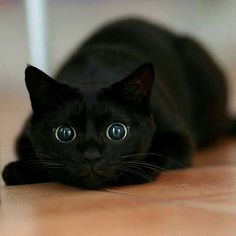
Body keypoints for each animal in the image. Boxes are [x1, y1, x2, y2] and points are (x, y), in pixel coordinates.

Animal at [1, 17, 234, 189]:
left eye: (116, 131)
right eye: (65, 133)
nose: (91, 156)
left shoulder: (181, 138)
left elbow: (160, 151)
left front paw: (139, 170)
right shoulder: (23, 137)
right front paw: (18, 169)